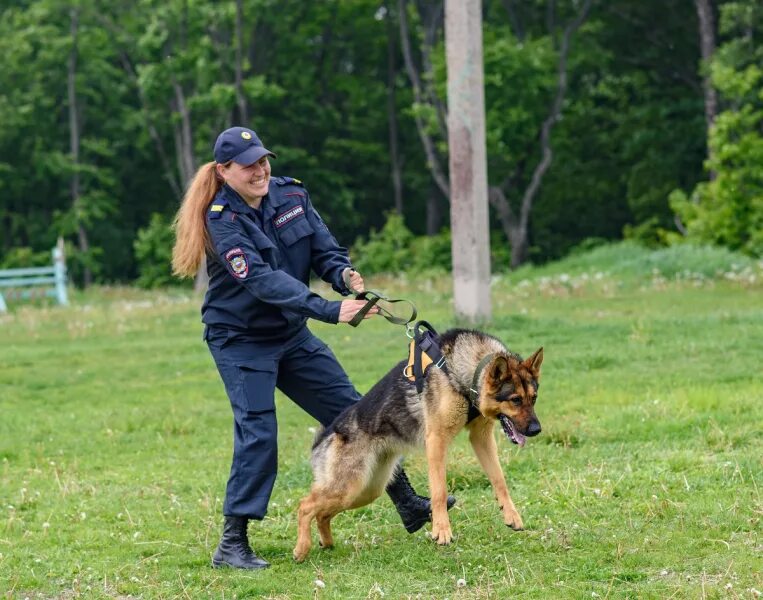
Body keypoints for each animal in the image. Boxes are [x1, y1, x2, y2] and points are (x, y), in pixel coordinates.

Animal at [292, 328, 544, 564]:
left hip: (365, 491)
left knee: (322, 514)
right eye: (515, 400)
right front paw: (442, 531)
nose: (536, 430)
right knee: (305, 506)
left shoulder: (480, 437)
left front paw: (511, 515)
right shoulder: (437, 441)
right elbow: (439, 491)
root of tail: (328, 434)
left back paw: (327, 543)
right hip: (349, 487)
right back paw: (302, 549)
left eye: (534, 398)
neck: (460, 371)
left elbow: (499, 479)